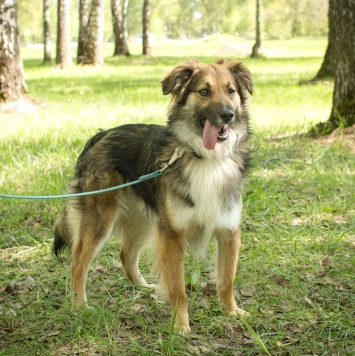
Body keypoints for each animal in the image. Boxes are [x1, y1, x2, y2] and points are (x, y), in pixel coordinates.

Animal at [53, 58, 253, 334]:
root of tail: (100, 135)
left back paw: (144, 287)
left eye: (230, 91)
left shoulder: (228, 230)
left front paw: (232, 313)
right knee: (77, 263)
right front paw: (180, 326)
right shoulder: (172, 234)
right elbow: (179, 288)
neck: (207, 158)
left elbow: (227, 280)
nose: (227, 115)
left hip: (142, 219)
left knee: (126, 254)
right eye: (204, 91)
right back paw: (79, 306)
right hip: (100, 219)